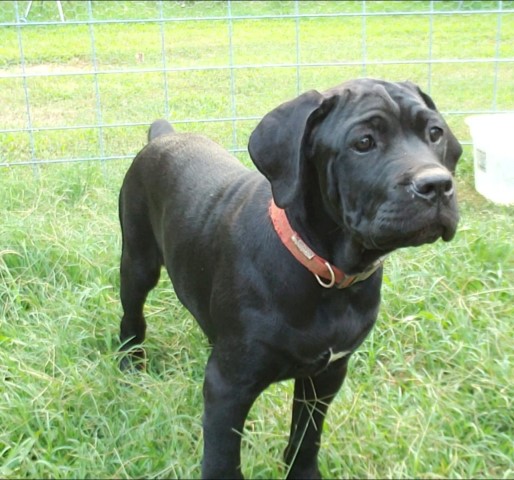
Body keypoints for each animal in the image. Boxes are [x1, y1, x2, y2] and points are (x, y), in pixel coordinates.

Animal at [118, 79, 462, 476]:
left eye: (435, 133)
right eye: (363, 142)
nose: (437, 185)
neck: (325, 272)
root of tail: (165, 136)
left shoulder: (327, 374)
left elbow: (307, 433)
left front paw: (303, 472)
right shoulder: (228, 386)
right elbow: (222, 457)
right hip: (138, 260)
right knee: (132, 317)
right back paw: (129, 365)